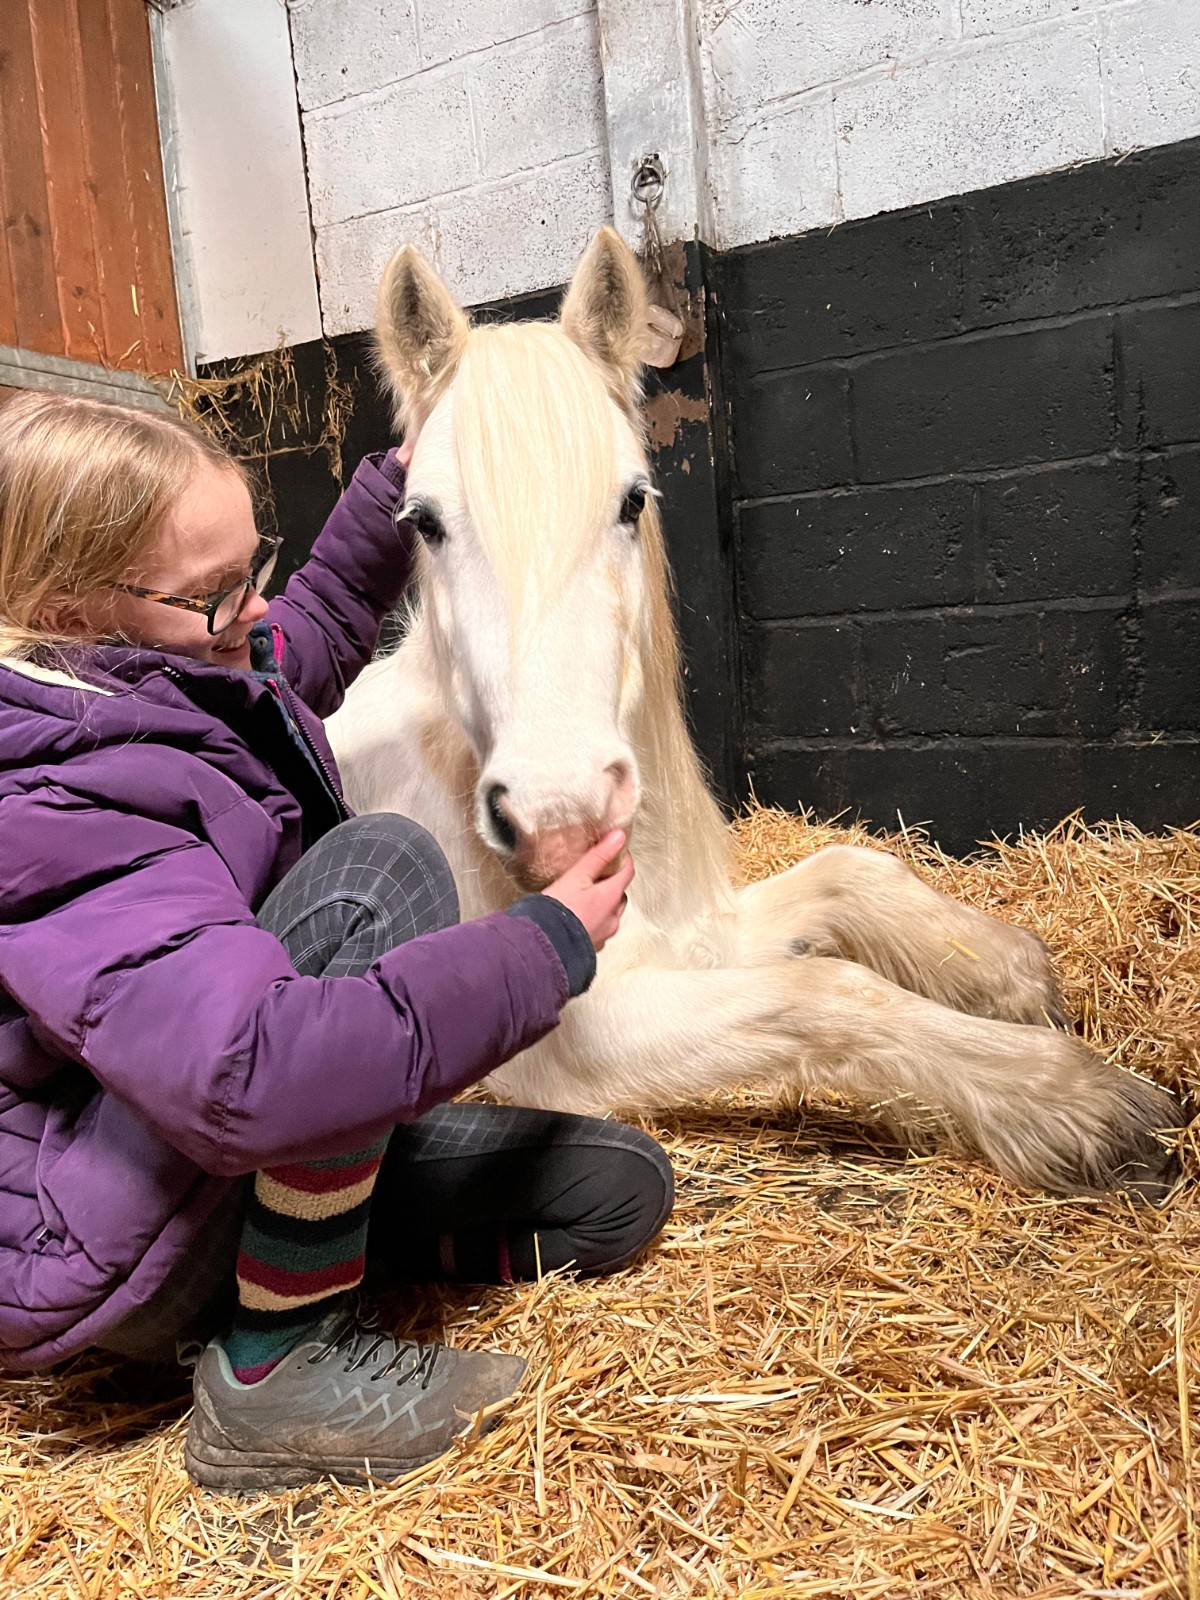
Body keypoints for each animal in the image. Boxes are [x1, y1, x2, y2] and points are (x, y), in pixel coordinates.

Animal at [326, 227, 1183, 1200]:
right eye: (423, 521)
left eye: (632, 499)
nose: (561, 816)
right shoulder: (586, 1026)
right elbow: (830, 993)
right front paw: (1076, 1103)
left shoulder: (703, 935)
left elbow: (852, 873)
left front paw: (1011, 975)